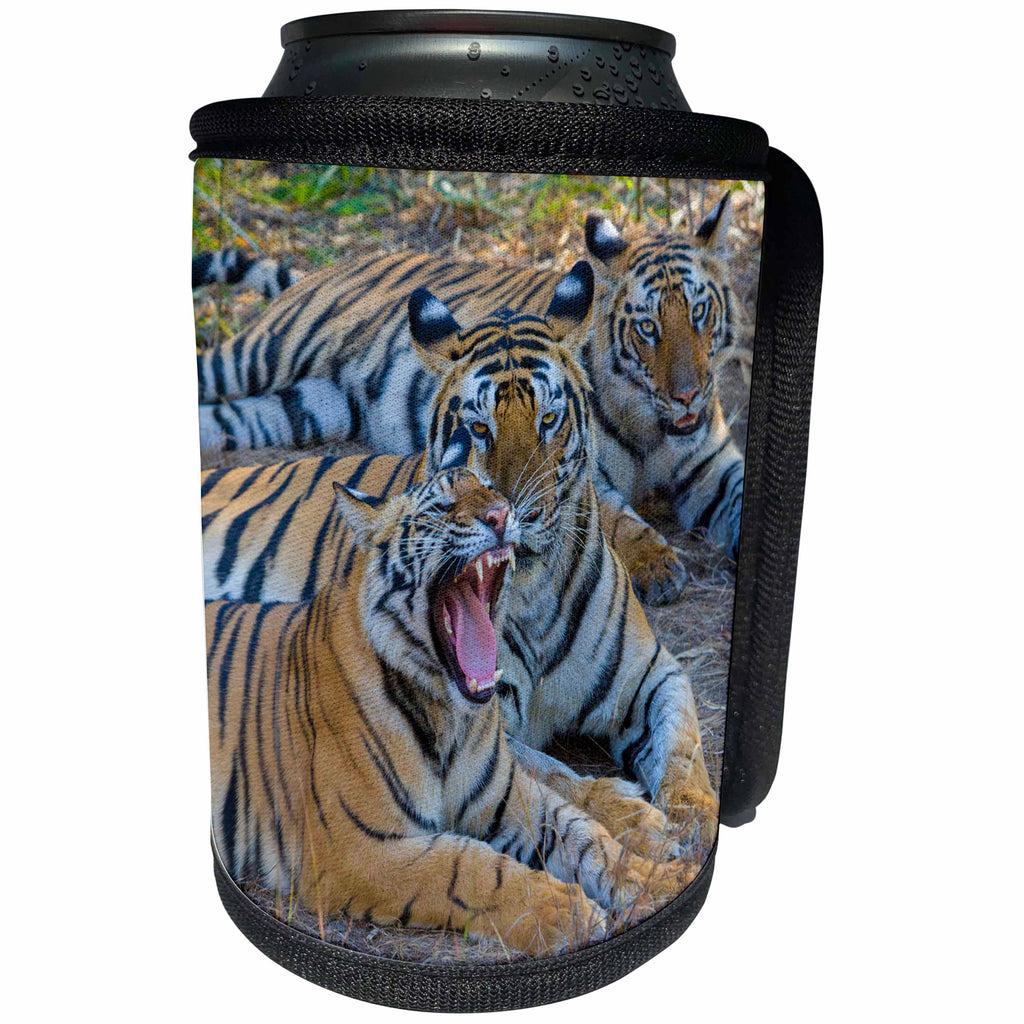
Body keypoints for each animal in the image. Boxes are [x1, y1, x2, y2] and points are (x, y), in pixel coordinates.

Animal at [195, 194, 743, 600]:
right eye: (648, 327)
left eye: (699, 312)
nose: (688, 397)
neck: (651, 423)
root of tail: (320, 271)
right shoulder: (589, 475)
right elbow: (617, 517)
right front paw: (656, 564)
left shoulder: (711, 464)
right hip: (256, 355)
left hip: (302, 408)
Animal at [202, 268, 720, 856]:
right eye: (478, 429)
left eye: (549, 420)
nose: (514, 514)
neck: (536, 594)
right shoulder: (485, 721)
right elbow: (558, 776)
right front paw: (638, 818)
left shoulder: (652, 673)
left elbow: (683, 744)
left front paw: (691, 817)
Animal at [207, 466, 694, 955]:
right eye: (441, 507)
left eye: (493, 492)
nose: (501, 515)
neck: (449, 715)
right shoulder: (355, 849)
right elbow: (469, 866)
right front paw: (567, 911)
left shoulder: (505, 795)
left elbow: (582, 832)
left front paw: (656, 879)